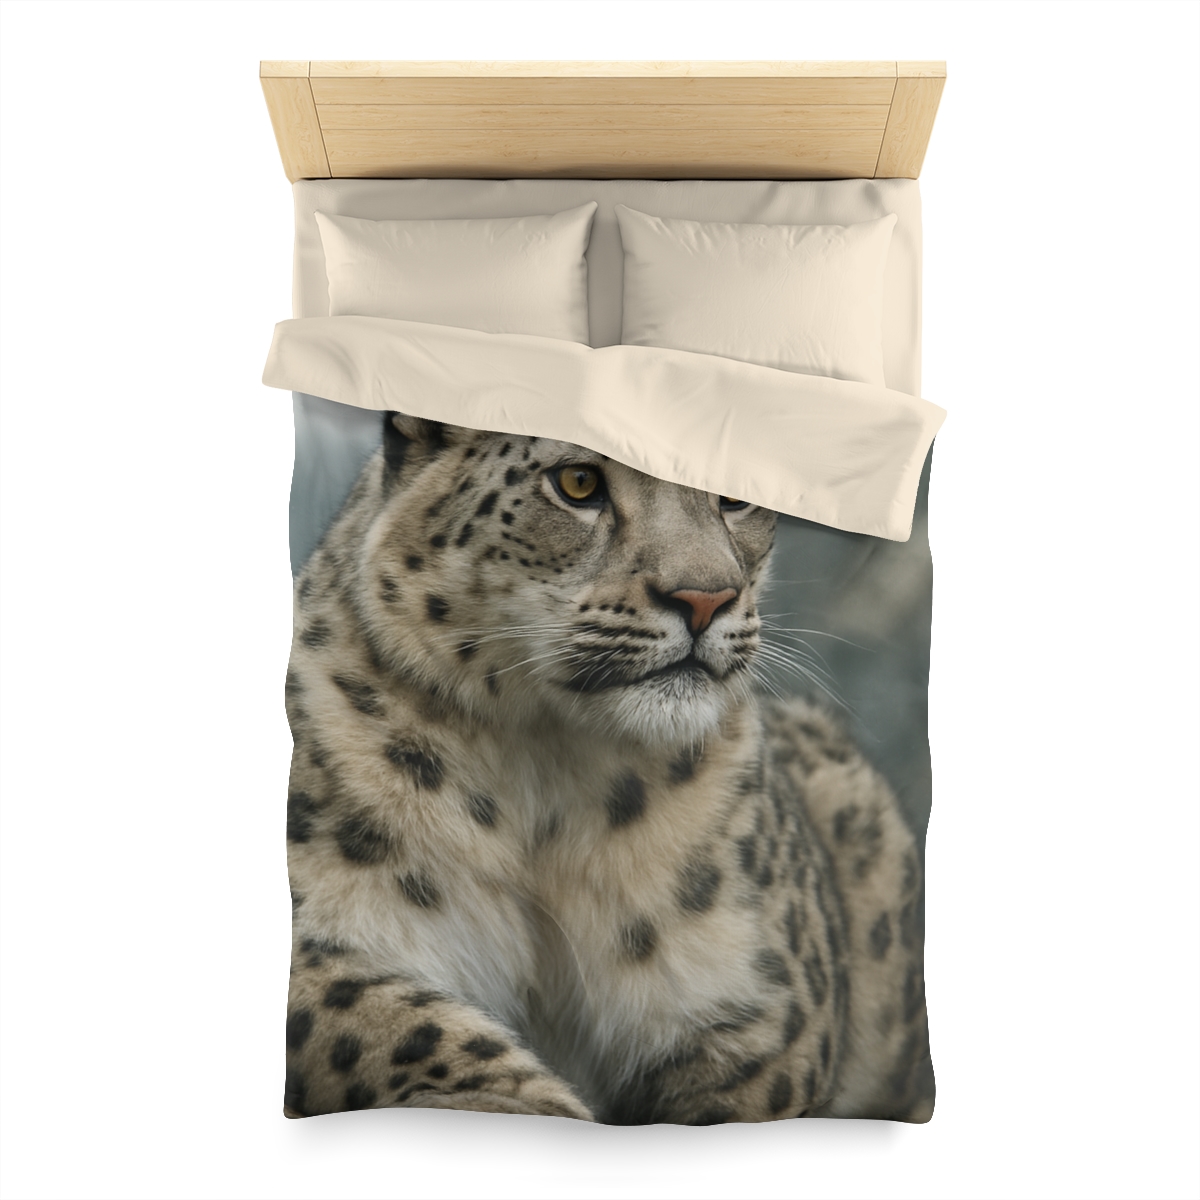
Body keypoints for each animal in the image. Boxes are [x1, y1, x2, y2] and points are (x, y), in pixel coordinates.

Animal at [281, 411, 933, 1125]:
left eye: (735, 491)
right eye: (578, 482)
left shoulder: (757, 996)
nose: (706, 599)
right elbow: (403, 1029)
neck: (547, 780)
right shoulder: (320, 938)